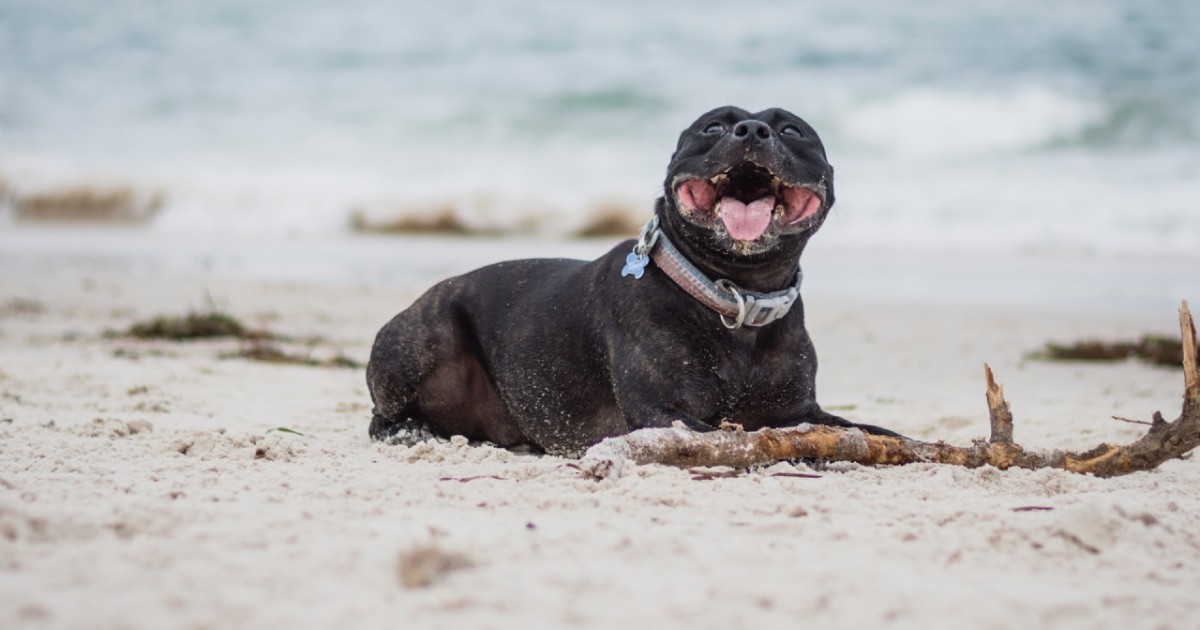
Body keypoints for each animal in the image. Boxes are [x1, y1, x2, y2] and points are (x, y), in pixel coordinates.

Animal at [369, 105, 897, 453]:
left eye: (792, 130)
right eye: (712, 127)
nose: (752, 129)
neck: (736, 295)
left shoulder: (799, 412)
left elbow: (877, 432)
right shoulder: (663, 412)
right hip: (421, 338)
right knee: (381, 414)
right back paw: (409, 430)